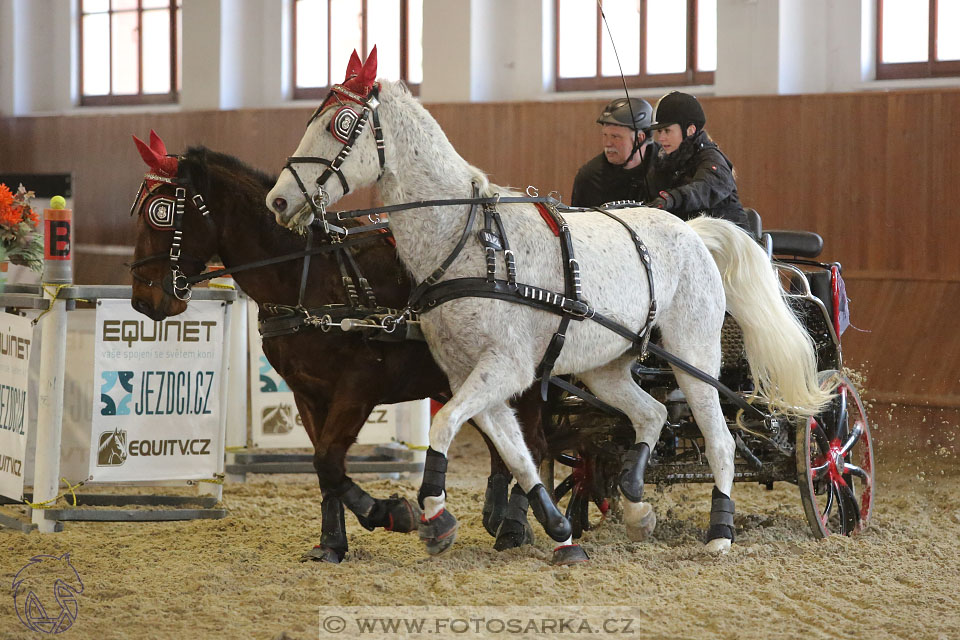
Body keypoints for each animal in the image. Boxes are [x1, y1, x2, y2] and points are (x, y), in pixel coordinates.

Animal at [131, 138, 548, 564]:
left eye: (160, 212)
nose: (142, 300)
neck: (310, 276)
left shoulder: (358, 387)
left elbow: (329, 460)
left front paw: (390, 512)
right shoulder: (308, 392)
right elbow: (323, 468)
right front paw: (332, 541)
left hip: (520, 379)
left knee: (532, 444)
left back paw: (514, 525)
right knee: (501, 444)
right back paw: (498, 515)